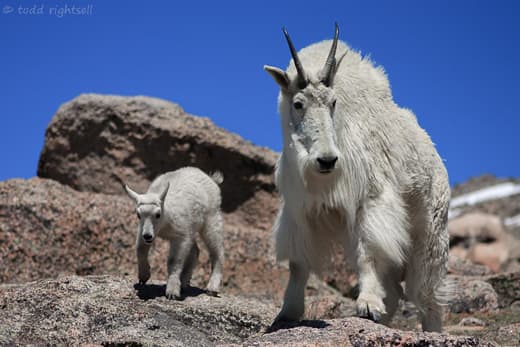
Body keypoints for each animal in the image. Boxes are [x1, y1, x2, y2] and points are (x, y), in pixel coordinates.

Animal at [126, 168, 225, 300]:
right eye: (138, 214)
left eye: (158, 214)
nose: (148, 236)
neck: (165, 222)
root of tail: (212, 179)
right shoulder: (144, 229)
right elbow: (140, 249)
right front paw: (143, 277)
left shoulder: (180, 236)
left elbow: (174, 261)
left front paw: (172, 291)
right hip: (191, 227)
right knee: (195, 250)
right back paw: (184, 283)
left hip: (211, 218)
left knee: (217, 250)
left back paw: (212, 288)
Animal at [264, 23, 450, 334]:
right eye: (298, 103)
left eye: (333, 102)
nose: (327, 160)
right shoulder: (300, 209)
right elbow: (299, 264)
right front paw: (286, 314)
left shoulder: (371, 199)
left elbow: (370, 253)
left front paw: (368, 305)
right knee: (396, 290)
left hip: (431, 231)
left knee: (426, 293)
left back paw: (430, 330)